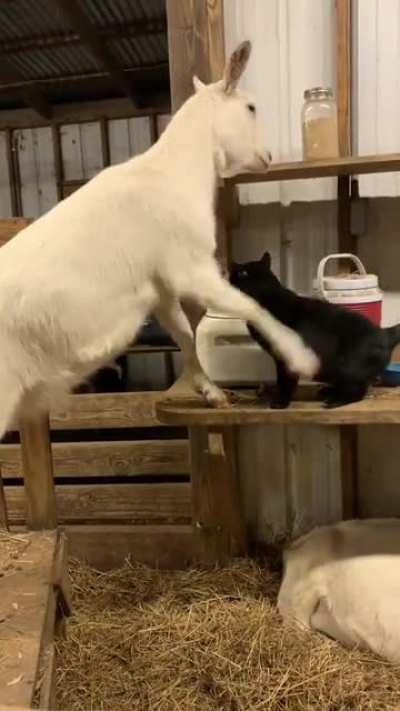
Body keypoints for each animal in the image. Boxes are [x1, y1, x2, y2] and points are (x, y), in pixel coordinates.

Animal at [0, 41, 318, 438]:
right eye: (251, 107)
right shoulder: (192, 268)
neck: (174, 173)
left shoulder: (162, 288)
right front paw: (300, 356)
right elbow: (250, 307)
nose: (268, 156)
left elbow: (184, 332)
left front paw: (211, 392)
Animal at [230, 251, 400, 407]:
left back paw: (334, 401)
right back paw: (327, 391)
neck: (267, 296)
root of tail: (384, 333)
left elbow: (285, 381)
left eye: (241, 273)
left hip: (348, 368)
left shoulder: (286, 357)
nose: (231, 271)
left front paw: (281, 402)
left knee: (357, 391)